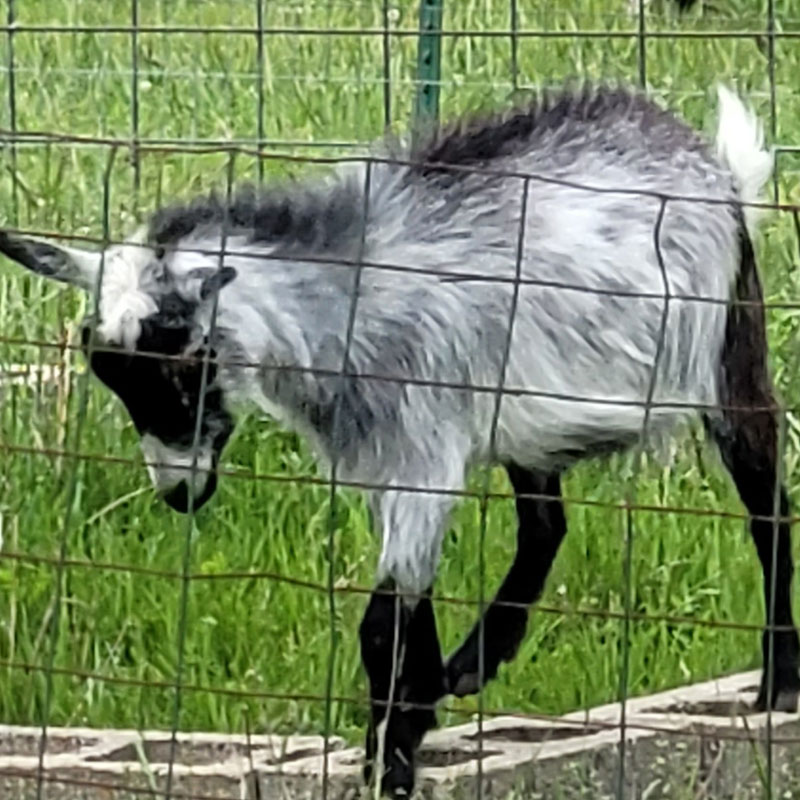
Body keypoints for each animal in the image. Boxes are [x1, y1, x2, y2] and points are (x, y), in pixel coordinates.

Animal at [0, 84, 797, 797]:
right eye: (112, 376)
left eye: (182, 368)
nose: (178, 492)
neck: (349, 306)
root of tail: (709, 161)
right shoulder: (390, 462)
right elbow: (413, 605)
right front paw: (414, 716)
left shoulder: (423, 450)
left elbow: (382, 622)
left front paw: (391, 761)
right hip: (527, 418)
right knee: (545, 524)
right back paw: (472, 663)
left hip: (730, 349)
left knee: (767, 507)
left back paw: (780, 681)